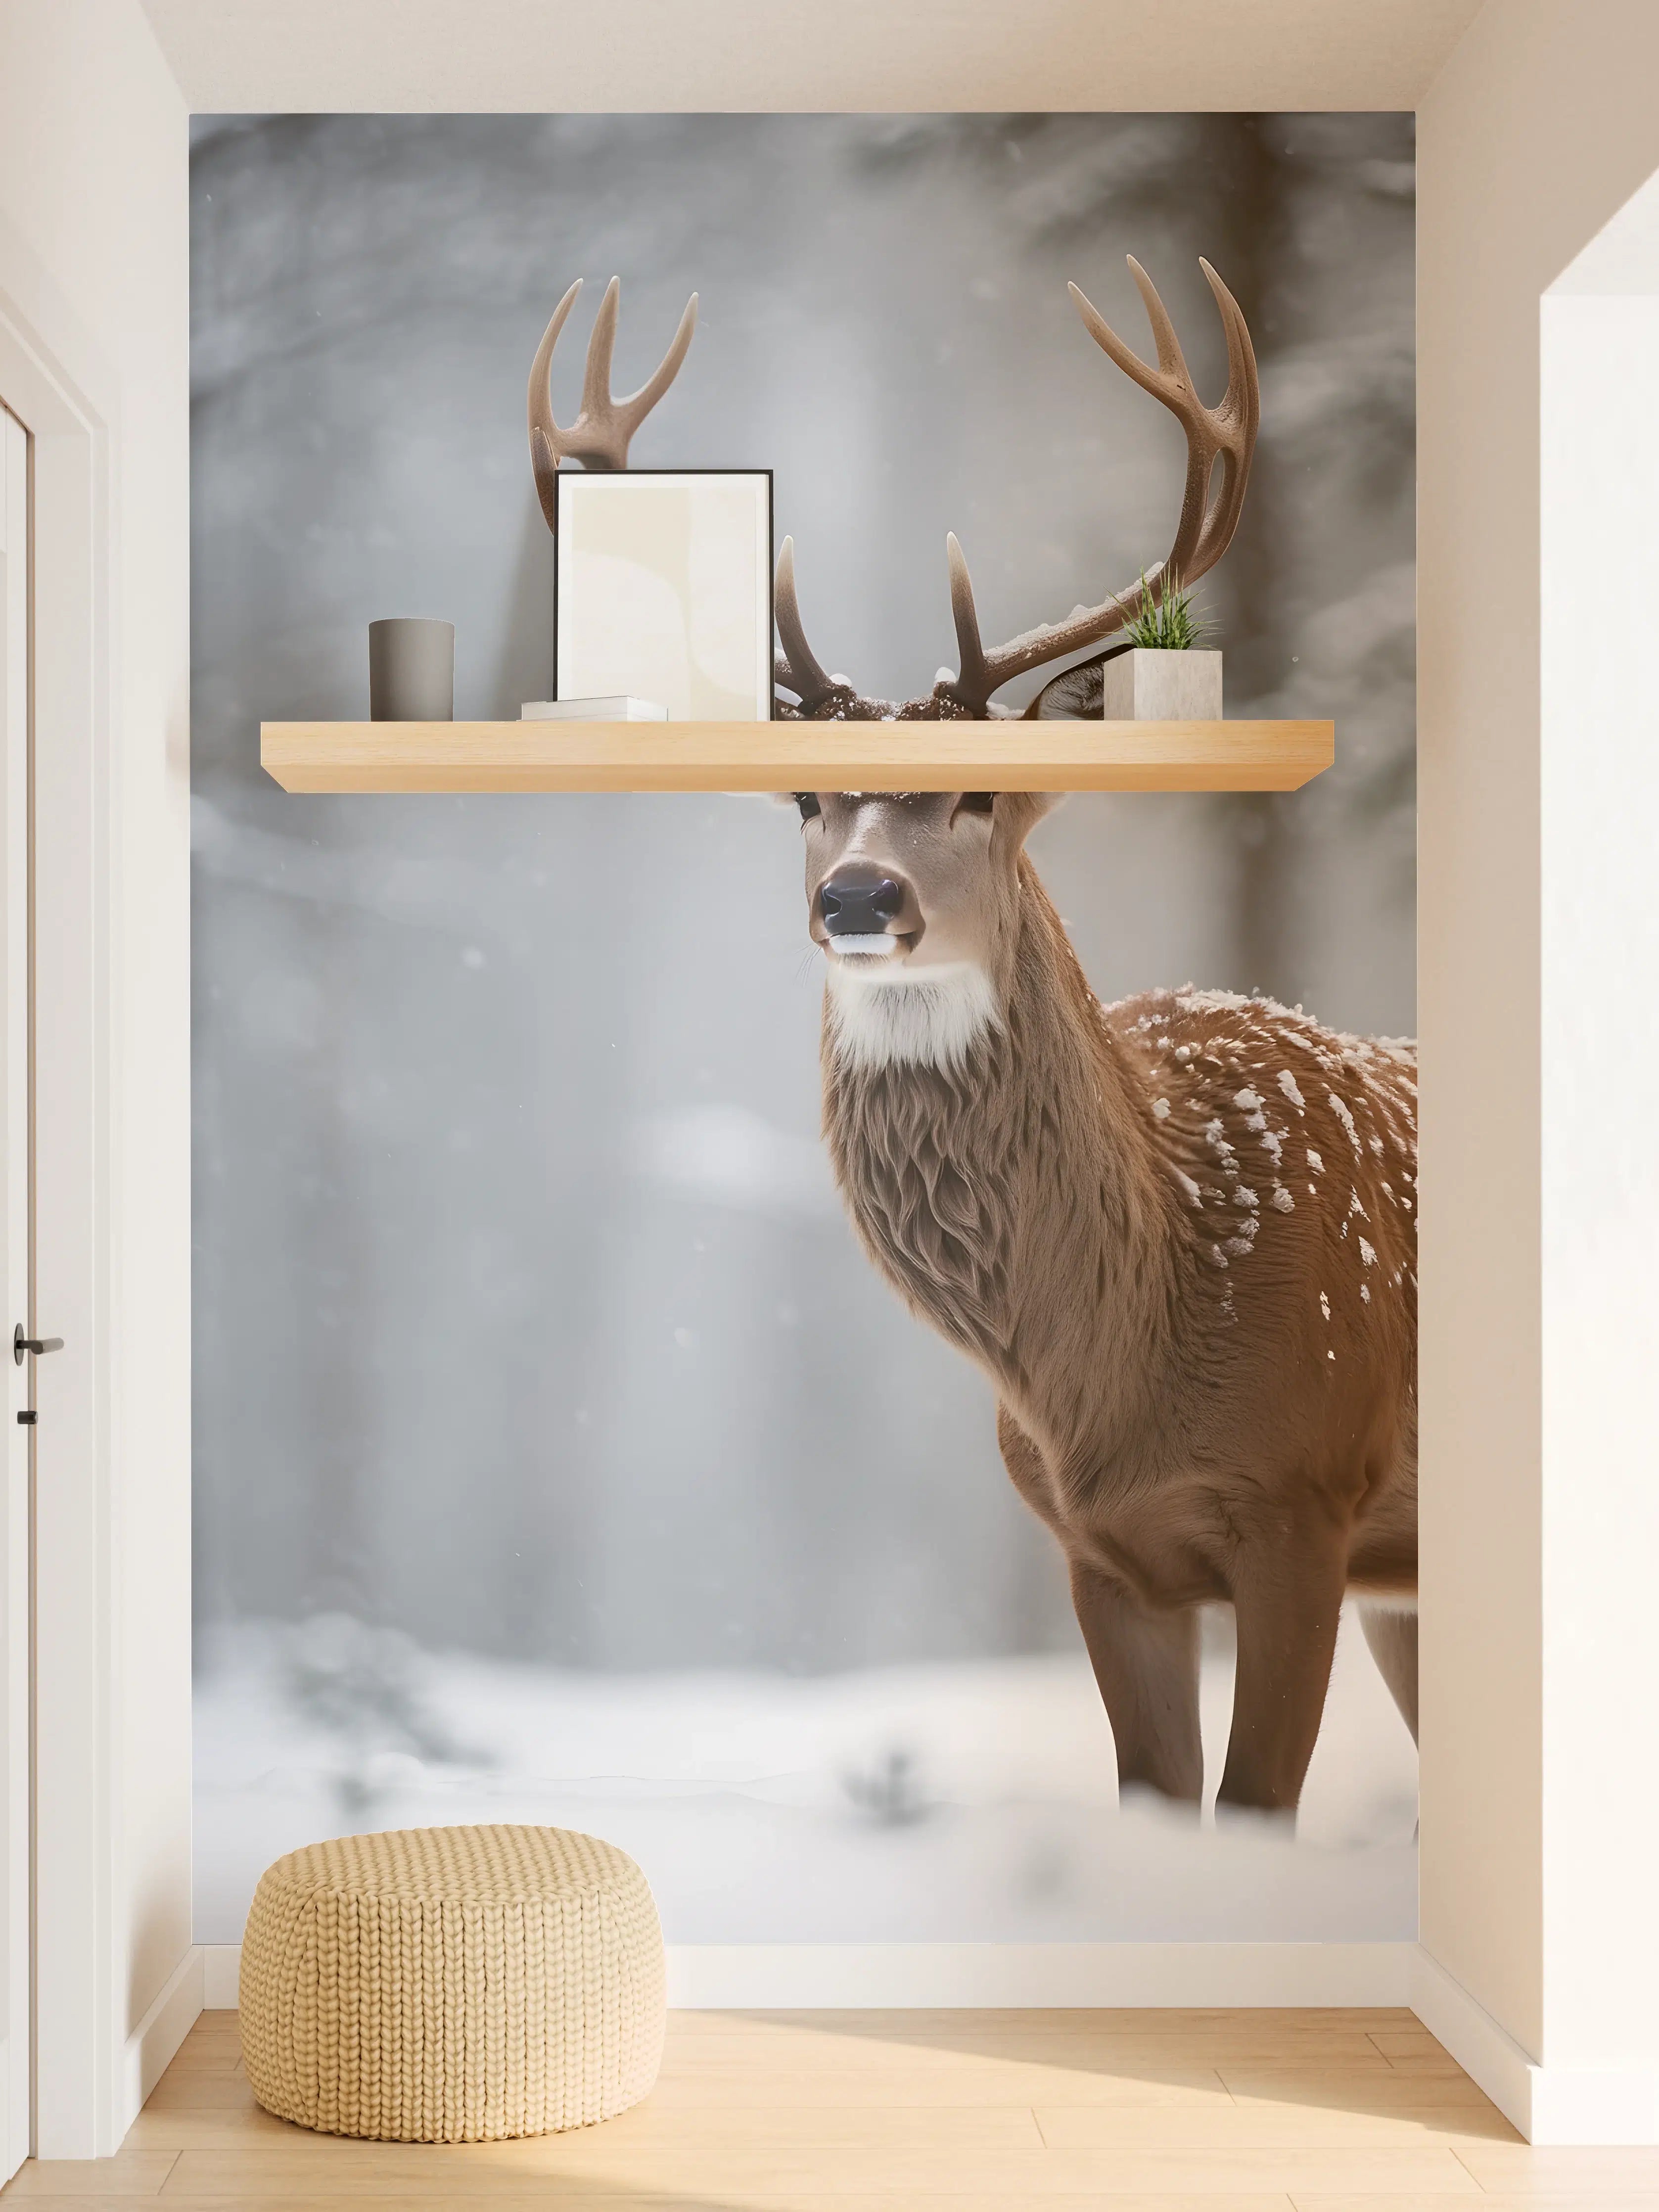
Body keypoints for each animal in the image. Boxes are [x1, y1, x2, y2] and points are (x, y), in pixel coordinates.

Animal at [529, 263, 1418, 1818]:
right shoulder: (1100, 1552)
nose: (857, 895)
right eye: (802, 796)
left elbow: (1252, 1811)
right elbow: (1156, 1804)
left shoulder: (1307, 1502)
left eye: (983, 789)